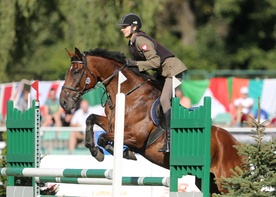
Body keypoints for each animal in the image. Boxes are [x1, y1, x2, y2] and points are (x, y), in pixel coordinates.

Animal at [59, 47, 242, 194]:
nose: (63, 102)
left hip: (225, 183)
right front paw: (96, 151)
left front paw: (116, 152)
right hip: (207, 181)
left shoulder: (136, 137)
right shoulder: (112, 125)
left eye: (76, 72)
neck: (128, 93)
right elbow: (91, 119)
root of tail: (238, 144)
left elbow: (103, 138)